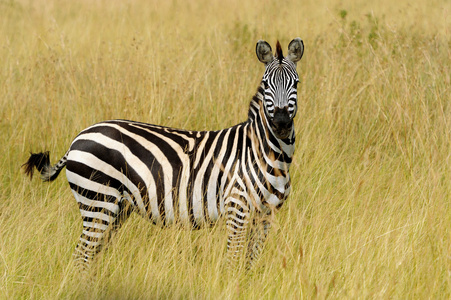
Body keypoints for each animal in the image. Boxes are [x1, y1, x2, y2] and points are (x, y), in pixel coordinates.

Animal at [23, 37, 306, 270]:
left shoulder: (265, 215)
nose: (281, 123)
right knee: (81, 257)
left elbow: (250, 264)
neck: (270, 155)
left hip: (115, 209)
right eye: (266, 84)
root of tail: (78, 138)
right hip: (98, 201)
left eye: (296, 83)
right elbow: (233, 262)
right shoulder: (238, 207)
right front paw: (231, 286)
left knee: (90, 256)